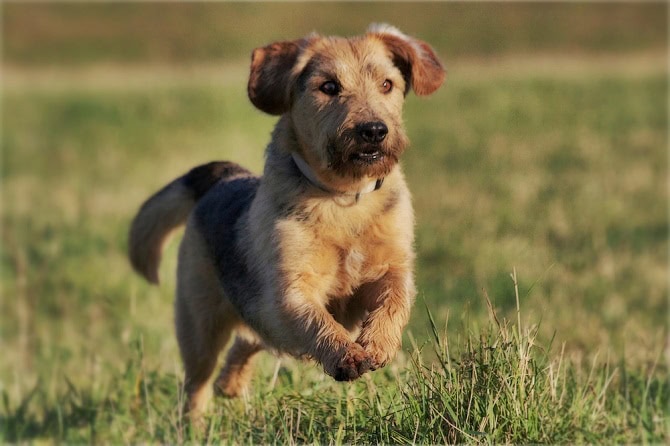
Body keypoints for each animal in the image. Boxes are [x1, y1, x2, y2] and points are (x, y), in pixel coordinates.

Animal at [131, 22, 446, 416]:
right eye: (329, 87)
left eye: (387, 84)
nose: (374, 130)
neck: (344, 199)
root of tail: (223, 177)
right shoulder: (291, 290)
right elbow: (317, 321)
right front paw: (346, 355)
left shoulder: (391, 267)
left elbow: (394, 300)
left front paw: (378, 344)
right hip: (200, 325)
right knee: (198, 384)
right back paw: (195, 422)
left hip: (253, 316)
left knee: (249, 338)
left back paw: (231, 384)